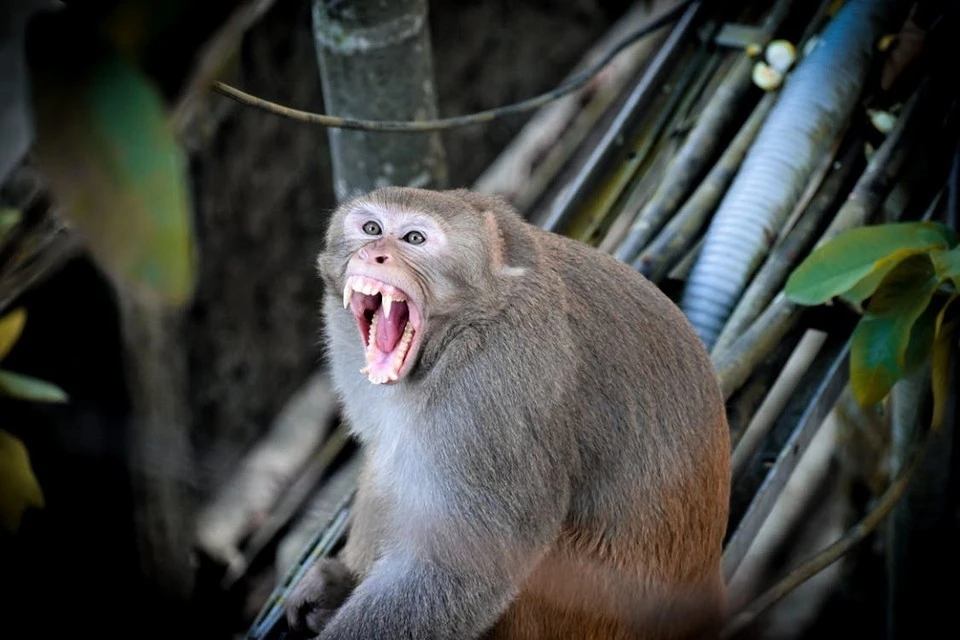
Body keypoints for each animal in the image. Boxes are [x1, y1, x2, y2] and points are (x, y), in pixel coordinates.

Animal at [284, 188, 728, 636]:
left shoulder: (492, 389)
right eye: (372, 228)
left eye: (414, 238)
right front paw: (337, 582)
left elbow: (458, 568)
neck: (472, 319)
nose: (374, 253)